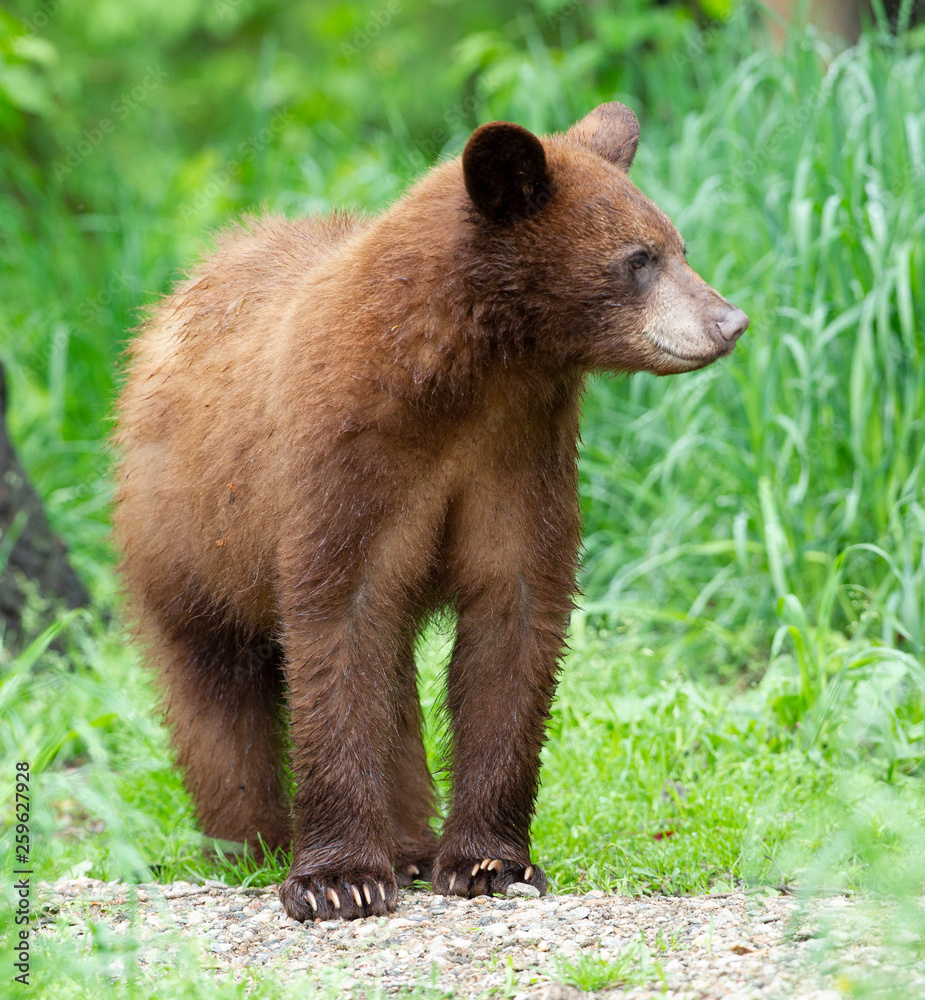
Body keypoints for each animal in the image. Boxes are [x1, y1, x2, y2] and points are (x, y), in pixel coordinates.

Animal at [112, 102, 748, 922]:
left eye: (679, 247)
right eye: (638, 258)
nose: (729, 321)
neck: (461, 375)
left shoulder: (518, 454)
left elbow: (514, 620)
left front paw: (490, 862)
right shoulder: (349, 456)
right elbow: (335, 623)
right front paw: (335, 879)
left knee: (391, 683)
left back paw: (409, 843)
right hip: (185, 538)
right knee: (215, 689)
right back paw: (248, 842)